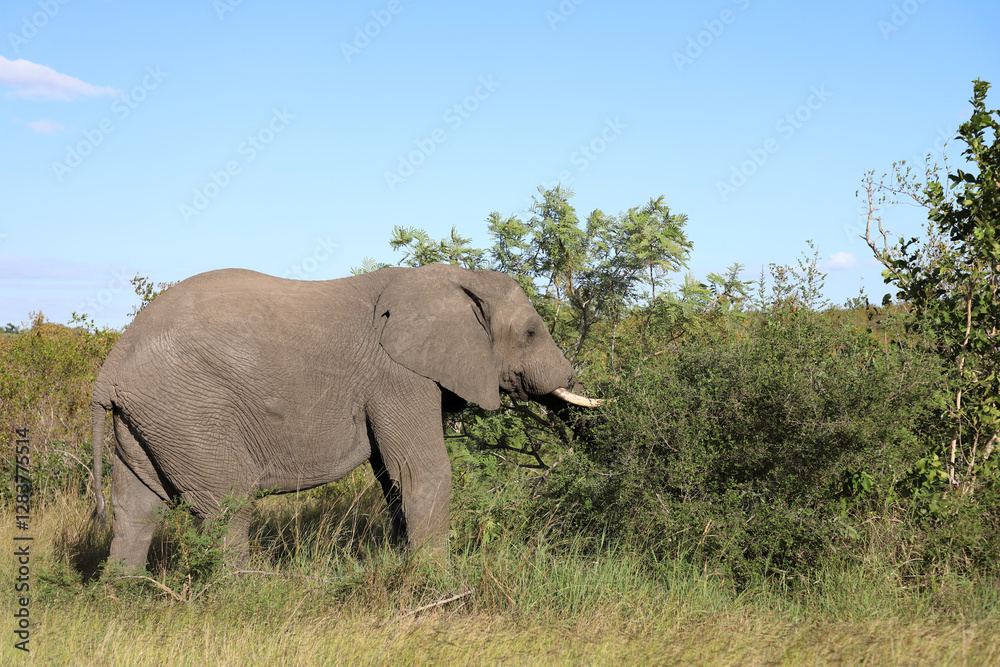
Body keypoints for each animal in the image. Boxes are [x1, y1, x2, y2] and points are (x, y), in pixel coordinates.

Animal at [90, 263, 599, 570]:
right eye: (530, 333)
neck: (451, 278)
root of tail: (109, 369)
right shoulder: (397, 374)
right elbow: (421, 471)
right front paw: (436, 581)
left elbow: (393, 479)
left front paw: (404, 564)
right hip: (189, 410)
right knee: (228, 504)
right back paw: (243, 592)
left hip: (148, 419)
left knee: (136, 507)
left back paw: (122, 593)